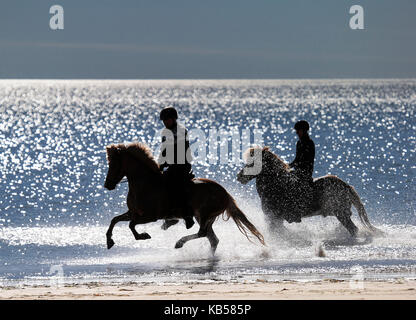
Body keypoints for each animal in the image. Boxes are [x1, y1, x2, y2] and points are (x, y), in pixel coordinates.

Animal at [105, 141, 264, 254]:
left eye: (114, 164)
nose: (107, 185)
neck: (144, 184)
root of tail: (225, 193)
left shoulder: (150, 216)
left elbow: (131, 225)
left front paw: (143, 236)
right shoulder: (133, 212)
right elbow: (115, 220)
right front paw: (109, 241)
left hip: (204, 215)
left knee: (203, 233)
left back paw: (179, 243)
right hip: (205, 217)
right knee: (212, 239)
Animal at [237, 148, 384, 238]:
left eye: (252, 163)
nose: (239, 176)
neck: (276, 185)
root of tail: (346, 186)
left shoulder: (273, 218)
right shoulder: (275, 219)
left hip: (341, 213)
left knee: (353, 229)